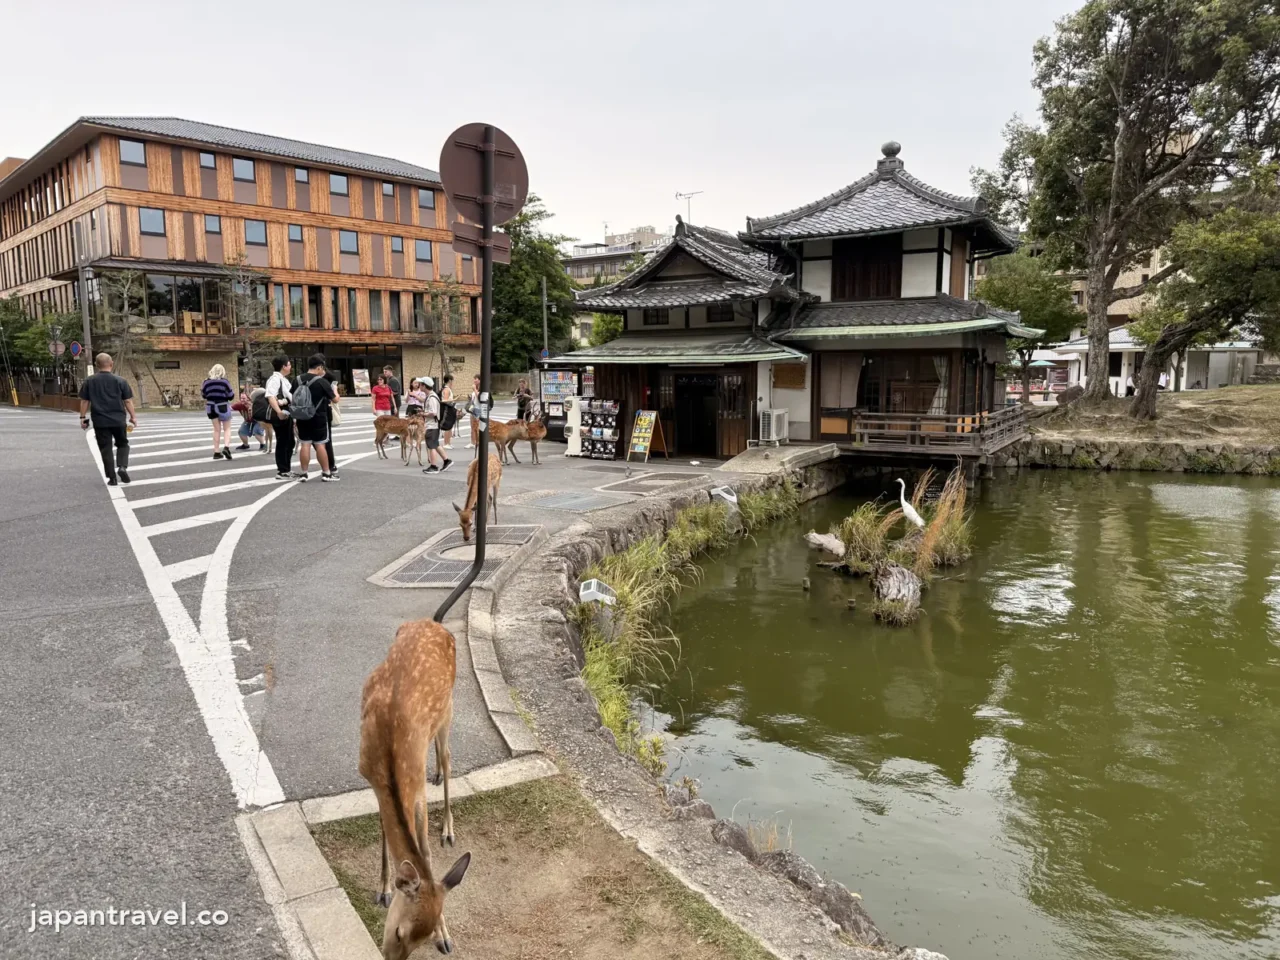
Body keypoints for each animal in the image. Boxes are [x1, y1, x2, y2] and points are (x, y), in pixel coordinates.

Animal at [359, 619, 471, 958]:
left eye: (424, 939)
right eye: (399, 931)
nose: (388, 957)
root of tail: (434, 623)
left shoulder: (415, 792)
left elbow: (426, 855)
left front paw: (446, 936)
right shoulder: (371, 779)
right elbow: (384, 830)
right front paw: (383, 889)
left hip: (449, 707)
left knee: (448, 757)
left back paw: (448, 828)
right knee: (441, 755)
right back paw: (436, 774)